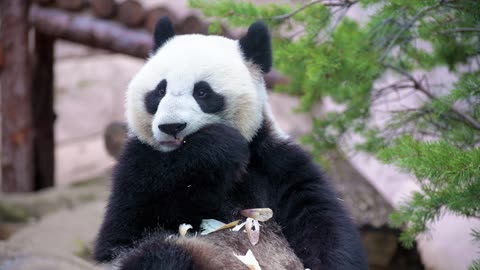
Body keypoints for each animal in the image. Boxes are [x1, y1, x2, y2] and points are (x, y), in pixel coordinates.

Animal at [94, 17, 368, 270]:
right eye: (160, 91)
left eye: (202, 92)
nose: (171, 126)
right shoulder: (136, 164)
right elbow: (123, 230)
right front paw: (218, 147)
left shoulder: (276, 163)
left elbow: (321, 220)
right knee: (161, 254)